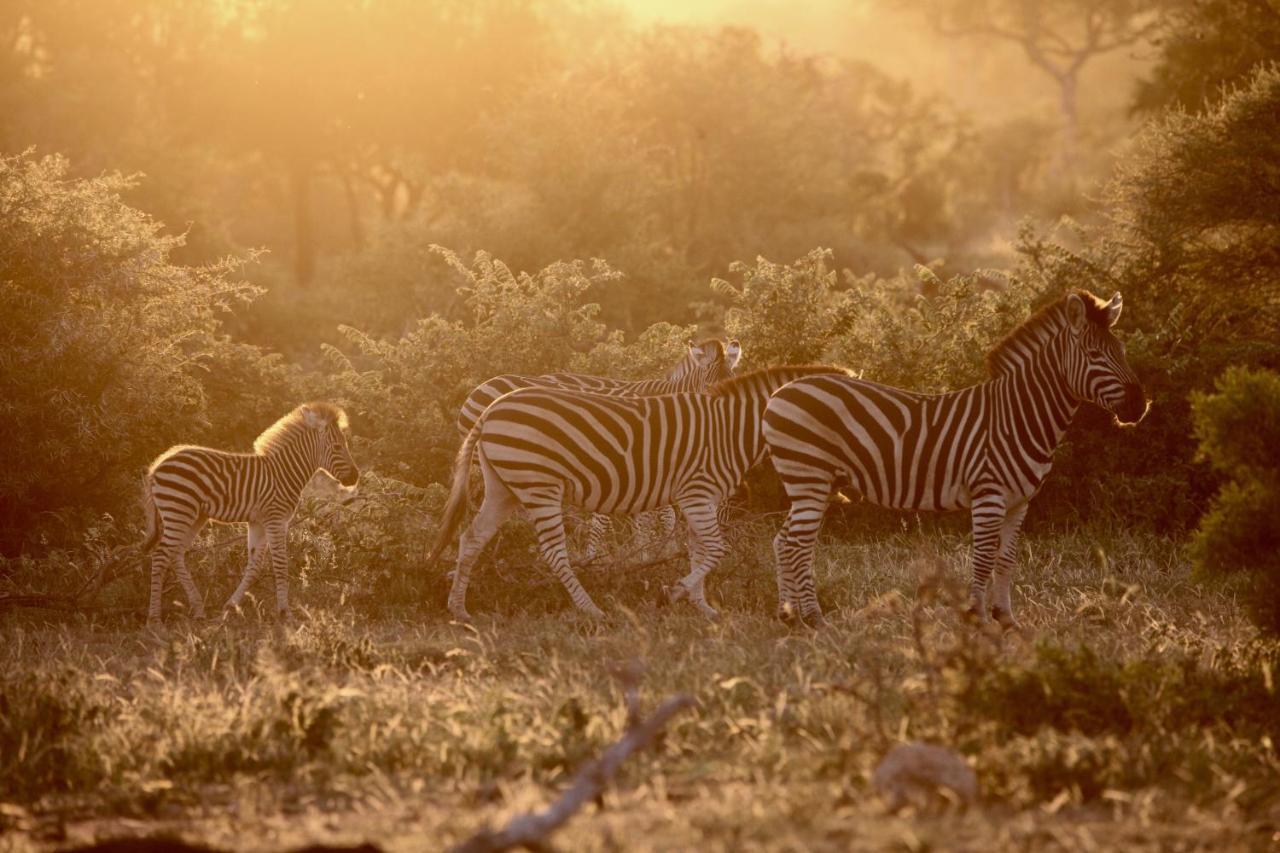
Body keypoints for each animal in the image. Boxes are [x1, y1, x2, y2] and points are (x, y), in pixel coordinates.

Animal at [141, 402, 360, 622]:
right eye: (338, 447)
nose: (355, 477)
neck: (284, 473)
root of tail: (157, 465)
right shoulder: (275, 519)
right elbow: (281, 564)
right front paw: (285, 613)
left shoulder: (259, 522)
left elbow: (254, 566)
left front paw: (230, 607)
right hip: (178, 510)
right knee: (160, 556)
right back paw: (154, 618)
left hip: (194, 516)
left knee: (176, 554)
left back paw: (198, 609)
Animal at [430, 361, 849, 622]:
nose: (843, 488)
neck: (731, 428)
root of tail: (492, 408)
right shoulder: (697, 493)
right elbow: (715, 549)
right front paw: (674, 594)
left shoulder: (701, 498)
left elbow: (699, 551)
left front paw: (702, 608)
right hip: (539, 485)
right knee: (552, 551)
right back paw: (590, 609)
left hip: (504, 486)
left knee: (472, 537)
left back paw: (459, 609)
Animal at [458, 335, 742, 560]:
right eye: (709, 387)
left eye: (734, 381)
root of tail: (477, 390)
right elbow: (653, 516)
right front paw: (647, 554)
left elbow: (655, 515)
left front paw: (653, 552)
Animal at [757, 289, 1152, 627]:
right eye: (1095, 355)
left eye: (1122, 350)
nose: (1139, 406)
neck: (1017, 415)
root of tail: (779, 393)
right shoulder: (989, 494)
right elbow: (983, 557)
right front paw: (977, 618)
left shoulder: (1020, 501)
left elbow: (1006, 560)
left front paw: (1006, 619)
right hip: (810, 478)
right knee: (798, 545)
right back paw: (814, 620)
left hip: (812, 484)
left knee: (782, 541)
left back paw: (788, 616)